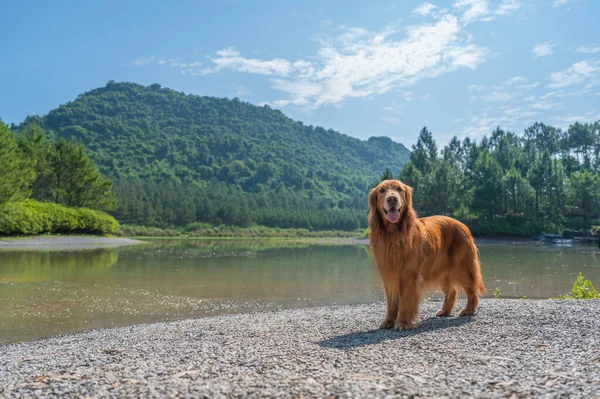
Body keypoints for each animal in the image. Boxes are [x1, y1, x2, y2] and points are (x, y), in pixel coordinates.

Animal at [366, 180, 488, 330]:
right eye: (382, 191)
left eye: (399, 189)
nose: (392, 199)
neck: (393, 234)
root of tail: (462, 224)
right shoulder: (389, 274)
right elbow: (391, 302)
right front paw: (389, 321)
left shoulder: (409, 275)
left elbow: (406, 301)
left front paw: (403, 322)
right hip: (441, 269)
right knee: (452, 291)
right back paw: (445, 311)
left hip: (462, 266)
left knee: (471, 289)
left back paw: (469, 309)